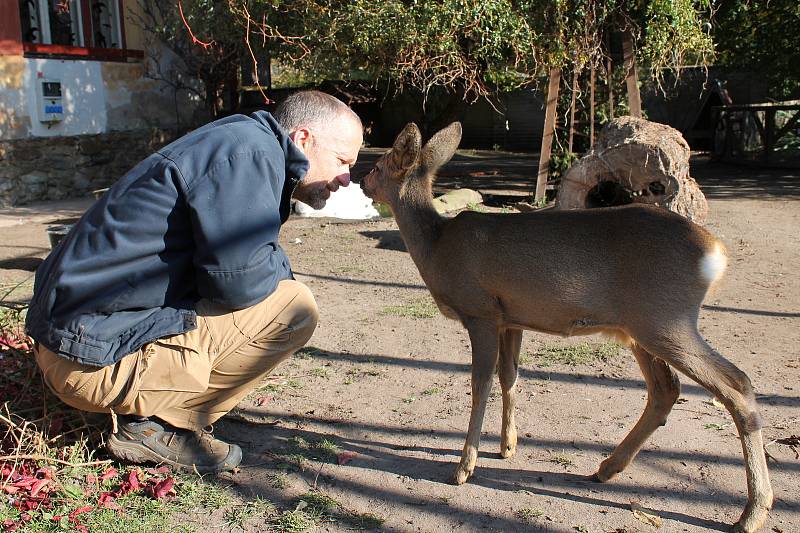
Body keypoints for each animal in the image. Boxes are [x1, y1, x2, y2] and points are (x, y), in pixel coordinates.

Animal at [362, 122, 776, 528]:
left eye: (380, 165)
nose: (363, 181)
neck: (436, 247)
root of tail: (717, 252)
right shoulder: (511, 318)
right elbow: (509, 377)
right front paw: (508, 446)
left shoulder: (480, 311)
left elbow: (480, 386)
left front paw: (463, 468)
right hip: (643, 325)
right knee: (666, 389)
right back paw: (607, 468)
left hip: (665, 318)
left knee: (736, 383)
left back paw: (753, 511)